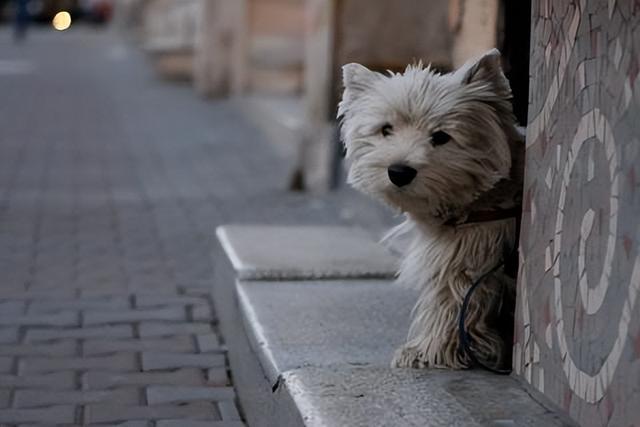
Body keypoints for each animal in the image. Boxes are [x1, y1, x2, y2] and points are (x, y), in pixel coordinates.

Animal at [338, 48, 524, 370]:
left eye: (440, 136)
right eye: (386, 129)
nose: (399, 171)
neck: (484, 200)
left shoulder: (464, 257)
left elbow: (450, 304)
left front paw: (427, 351)